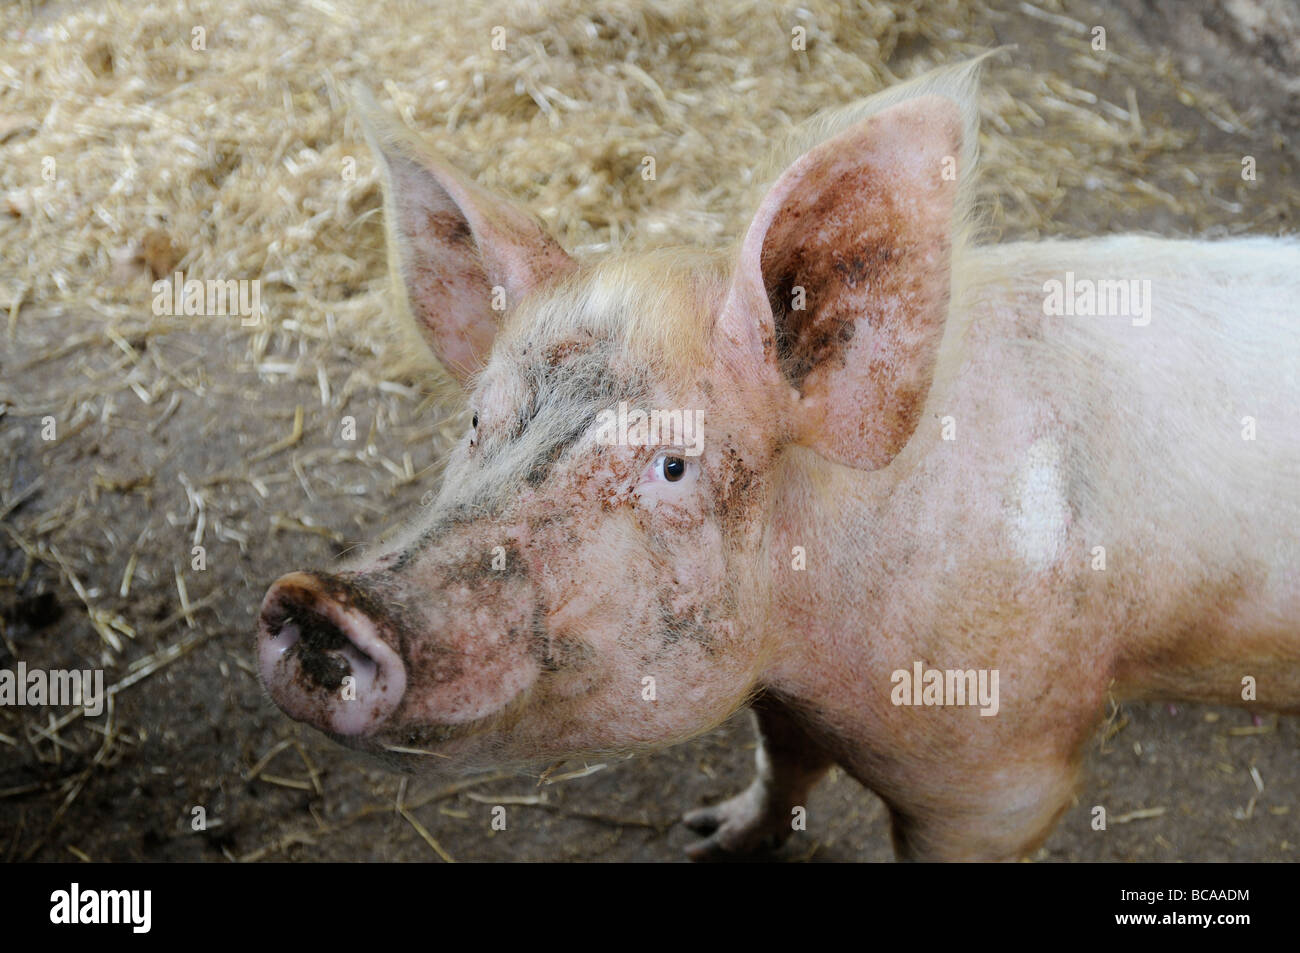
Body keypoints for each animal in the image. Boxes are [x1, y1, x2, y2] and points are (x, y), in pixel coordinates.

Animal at [256, 59, 1300, 863]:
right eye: (478, 420)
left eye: (672, 467)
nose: (321, 602)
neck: (812, 644)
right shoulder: (784, 700)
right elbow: (781, 761)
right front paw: (707, 835)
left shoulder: (1006, 773)